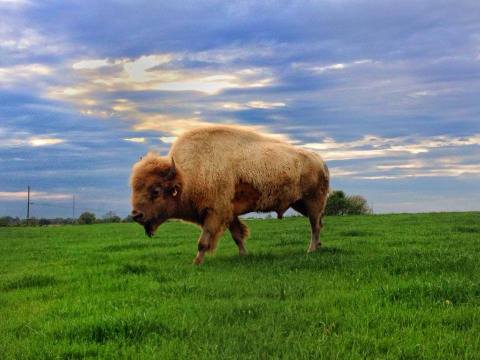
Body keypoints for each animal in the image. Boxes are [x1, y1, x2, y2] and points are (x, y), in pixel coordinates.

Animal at [129, 124, 328, 264]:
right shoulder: (229, 213)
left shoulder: (215, 213)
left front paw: (196, 262)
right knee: (318, 224)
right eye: (135, 189)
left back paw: (310, 250)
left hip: (313, 202)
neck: (186, 176)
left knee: (315, 226)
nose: (136, 215)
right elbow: (237, 236)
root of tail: (319, 161)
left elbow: (204, 241)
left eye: (155, 191)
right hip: (300, 204)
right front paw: (244, 255)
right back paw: (317, 247)